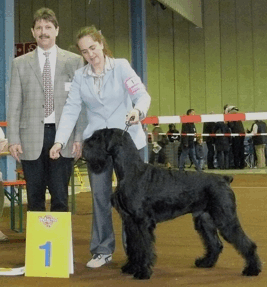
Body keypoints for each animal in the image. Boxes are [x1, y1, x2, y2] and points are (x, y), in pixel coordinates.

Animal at [82, 129, 262, 282]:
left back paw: (252, 269)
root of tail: (224, 179)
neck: (131, 171)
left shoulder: (142, 222)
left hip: (225, 219)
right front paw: (131, 267)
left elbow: (144, 248)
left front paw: (143, 272)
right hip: (204, 219)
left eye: (97, 138)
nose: (83, 147)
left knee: (247, 243)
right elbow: (134, 247)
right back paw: (205, 263)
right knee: (215, 244)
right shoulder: (130, 222)